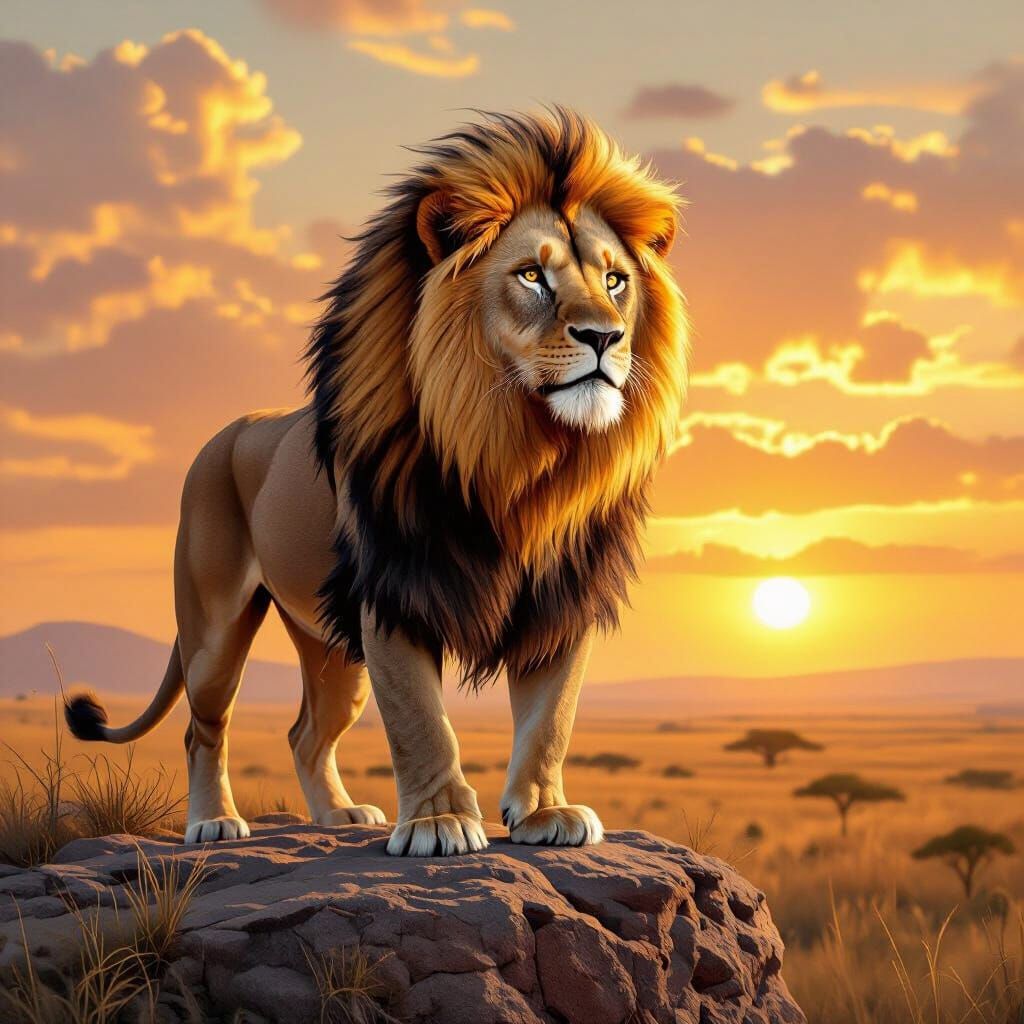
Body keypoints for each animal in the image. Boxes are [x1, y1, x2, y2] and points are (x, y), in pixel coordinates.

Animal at [65, 108, 688, 856]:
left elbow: (550, 719)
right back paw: (212, 822)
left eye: (616, 280)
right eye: (532, 276)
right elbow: (422, 720)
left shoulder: (560, 599)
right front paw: (439, 822)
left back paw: (337, 816)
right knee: (202, 726)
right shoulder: (394, 591)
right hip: (215, 626)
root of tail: (228, 432)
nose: (605, 336)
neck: (519, 459)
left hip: (333, 653)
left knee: (304, 733)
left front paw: (544, 812)